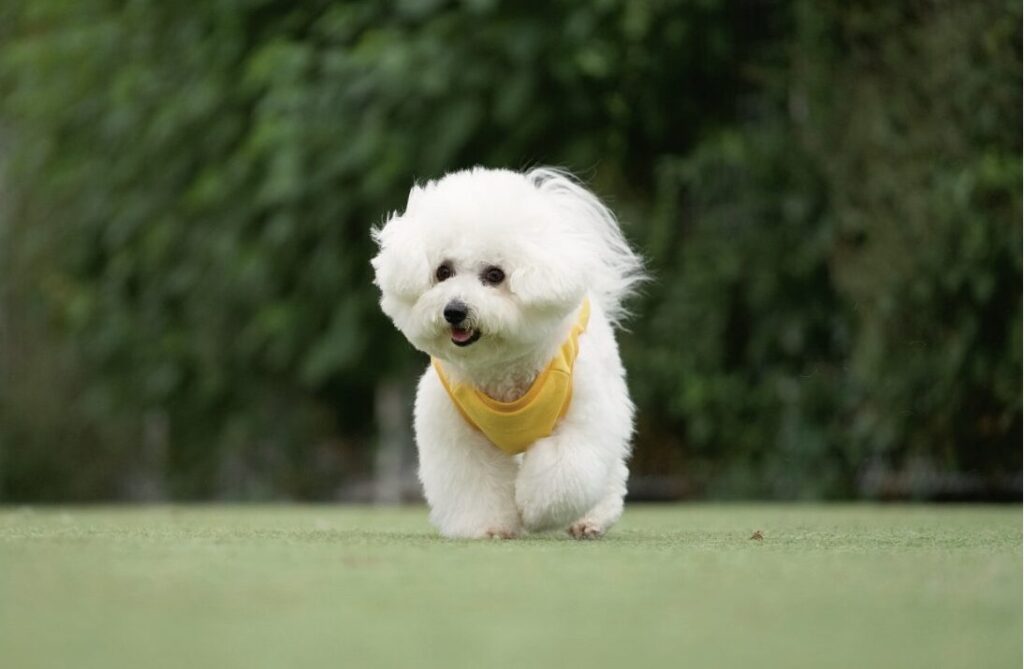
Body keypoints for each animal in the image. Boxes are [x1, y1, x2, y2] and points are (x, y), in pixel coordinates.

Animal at [371, 167, 645, 539]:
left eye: (494, 275)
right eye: (443, 271)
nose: (454, 310)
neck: (501, 369)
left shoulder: (582, 419)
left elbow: (565, 470)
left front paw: (536, 513)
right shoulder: (456, 432)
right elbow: (474, 480)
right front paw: (489, 527)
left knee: (609, 471)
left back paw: (589, 521)